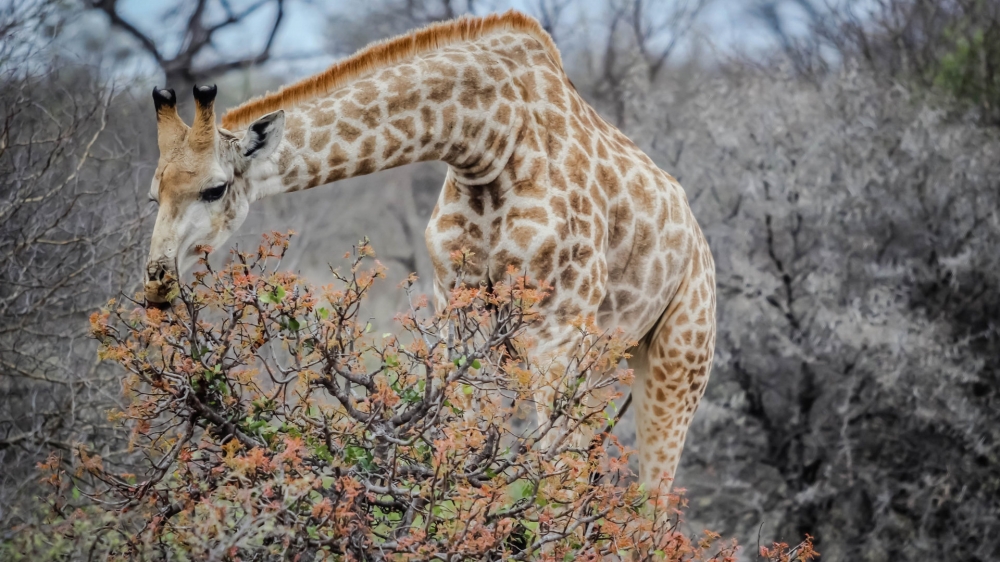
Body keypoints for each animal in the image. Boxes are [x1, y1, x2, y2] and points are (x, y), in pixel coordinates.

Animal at [145, 8, 716, 490]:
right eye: (154, 193)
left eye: (214, 188)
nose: (156, 282)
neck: (488, 140)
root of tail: (698, 237)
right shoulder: (456, 307)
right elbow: (459, 439)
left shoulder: (556, 326)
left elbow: (552, 475)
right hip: (607, 355)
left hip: (678, 358)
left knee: (652, 499)